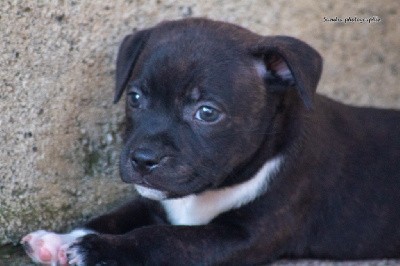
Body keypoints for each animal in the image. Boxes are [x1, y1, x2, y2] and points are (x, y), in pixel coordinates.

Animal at [21, 17, 400, 264]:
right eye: (135, 97)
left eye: (206, 112)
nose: (142, 159)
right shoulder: (154, 202)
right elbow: (112, 216)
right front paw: (57, 241)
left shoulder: (244, 236)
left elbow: (163, 238)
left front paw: (97, 249)